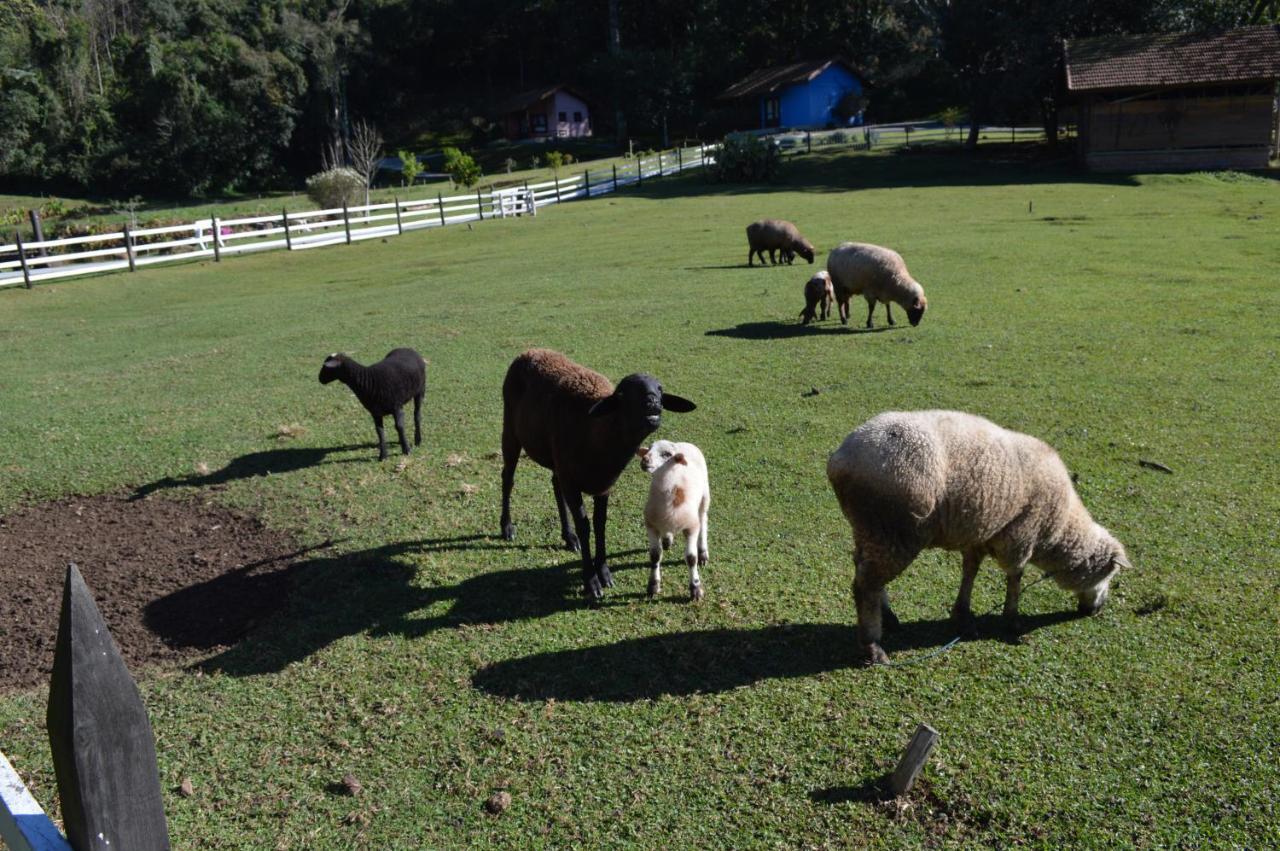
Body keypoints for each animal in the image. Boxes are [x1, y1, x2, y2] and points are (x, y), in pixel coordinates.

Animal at [637, 440, 711, 601]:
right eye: (649, 448)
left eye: (667, 454)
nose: (645, 459)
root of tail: (683, 443)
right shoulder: (651, 525)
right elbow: (655, 556)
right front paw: (653, 586)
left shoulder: (691, 527)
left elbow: (691, 558)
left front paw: (695, 588)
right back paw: (667, 540)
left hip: (705, 497)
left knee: (703, 519)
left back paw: (703, 552)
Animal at [824, 409, 1126, 665]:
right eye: (1110, 575)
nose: (1098, 609)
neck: (1058, 530)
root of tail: (841, 459)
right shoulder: (1021, 536)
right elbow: (1015, 578)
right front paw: (1012, 621)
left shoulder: (980, 535)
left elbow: (970, 572)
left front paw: (963, 616)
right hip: (893, 531)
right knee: (865, 585)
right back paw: (873, 647)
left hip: (869, 528)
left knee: (864, 570)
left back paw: (888, 617)